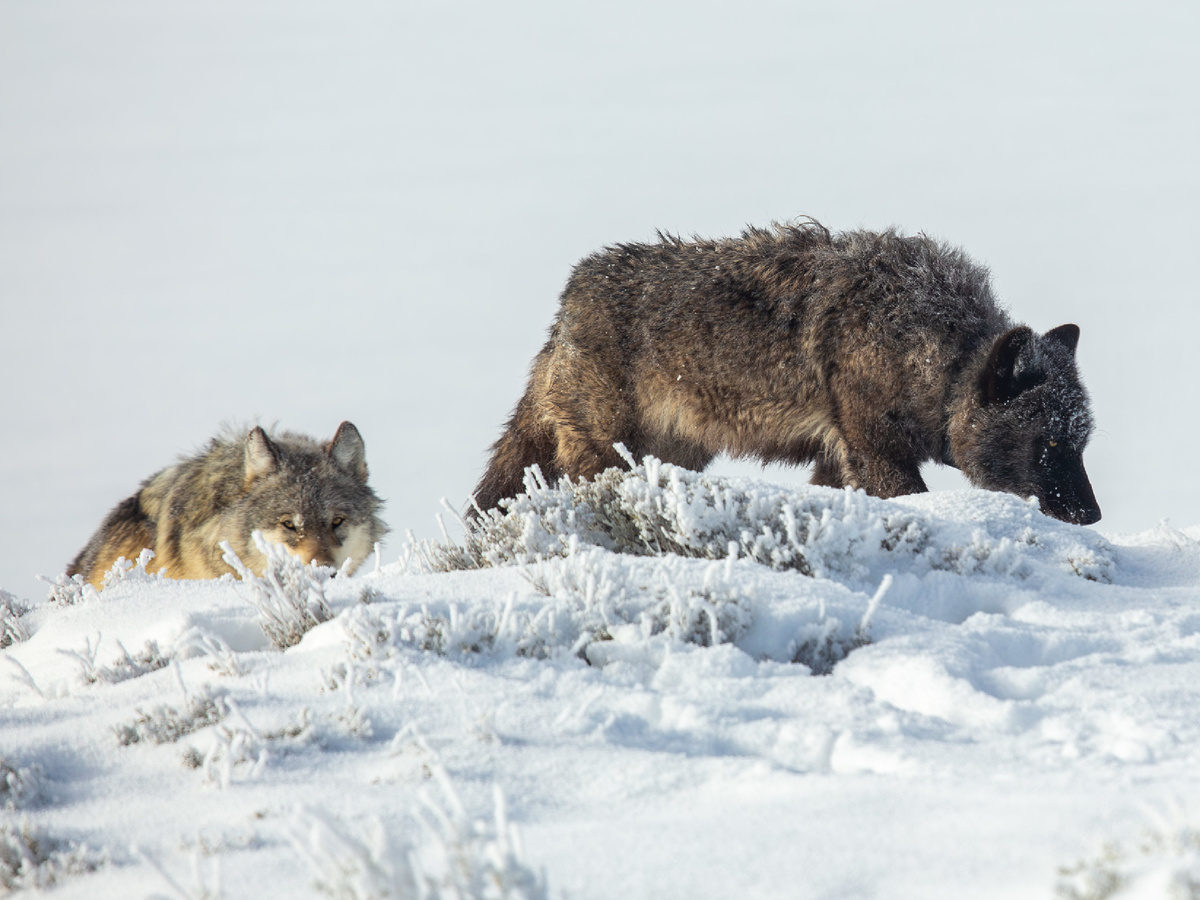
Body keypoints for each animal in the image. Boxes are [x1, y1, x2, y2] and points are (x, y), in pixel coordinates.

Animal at [474, 221, 1101, 524]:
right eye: (1046, 442)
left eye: (1079, 444)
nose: (1091, 516)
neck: (933, 356)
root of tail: (566, 305)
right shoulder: (878, 454)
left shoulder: (839, 459)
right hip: (609, 456)